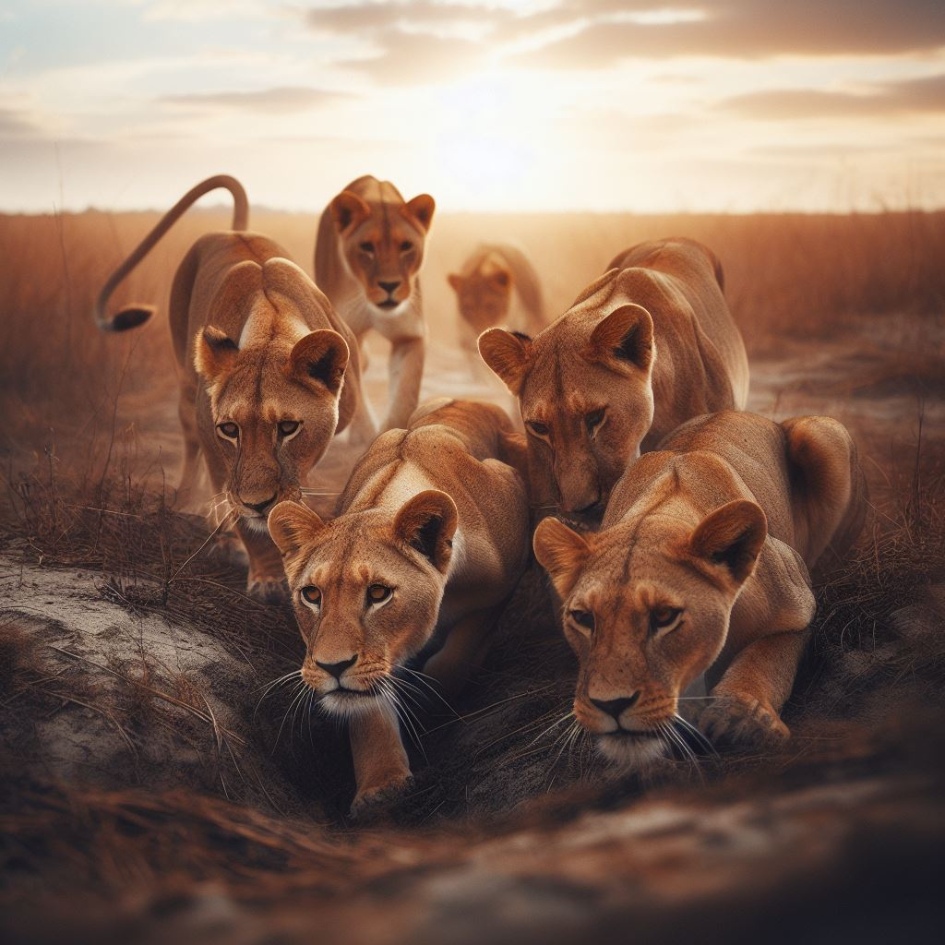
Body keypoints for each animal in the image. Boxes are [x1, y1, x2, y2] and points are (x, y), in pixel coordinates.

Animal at [94, 174, 363, 601]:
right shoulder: (211, 434)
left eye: (288, 427)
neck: (272, 328)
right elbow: (244, 515)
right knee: (195, 458)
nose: (258, 503)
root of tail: (232, 229)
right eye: (230, 429)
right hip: (186, 387)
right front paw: (266, 576)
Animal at [267, 398, 529, 815]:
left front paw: (428, 698)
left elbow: (456, 655)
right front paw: (382, 786)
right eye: (312, 595)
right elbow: (368, 709)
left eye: (378, 593)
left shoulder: (502, 584)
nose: (332, 666)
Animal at [315, 175, 436, 443]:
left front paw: (393, 432)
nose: (389, 285)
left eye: (406, 246)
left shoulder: (409, 335)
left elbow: (406, 393)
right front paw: (363, 435)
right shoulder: (345, 336)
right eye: (367, 246)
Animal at [533, 410, 867, 768]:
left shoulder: (798, 608)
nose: (610, 704)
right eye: (583, 618)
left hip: (824, 432)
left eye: (664, 616)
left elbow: (764, 659)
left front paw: (741, 718)